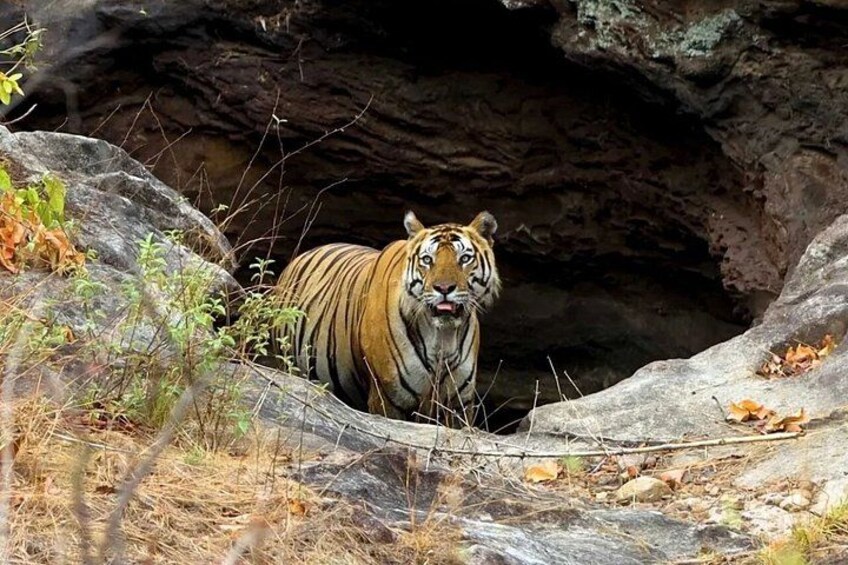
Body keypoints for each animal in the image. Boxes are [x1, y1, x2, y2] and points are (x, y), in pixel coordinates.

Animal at [275, 211, 500, 425]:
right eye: (427, 260)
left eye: (464, 259)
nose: (444, 289)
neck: (442, 338)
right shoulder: (388, 397)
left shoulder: (459, 404)